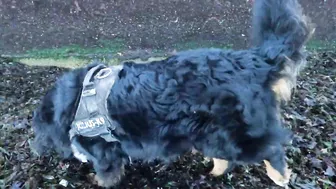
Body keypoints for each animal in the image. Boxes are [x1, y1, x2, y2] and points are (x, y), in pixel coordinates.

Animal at [31, 0, 312, 188]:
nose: (33, 149)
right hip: (211, 134)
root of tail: (254, 59)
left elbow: (105, 175)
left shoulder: (104, 153)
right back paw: (212, 172)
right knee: (226, 159)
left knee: (272, 151)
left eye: (37, 131)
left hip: (240, 135)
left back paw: (280, 177)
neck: (74, 103)